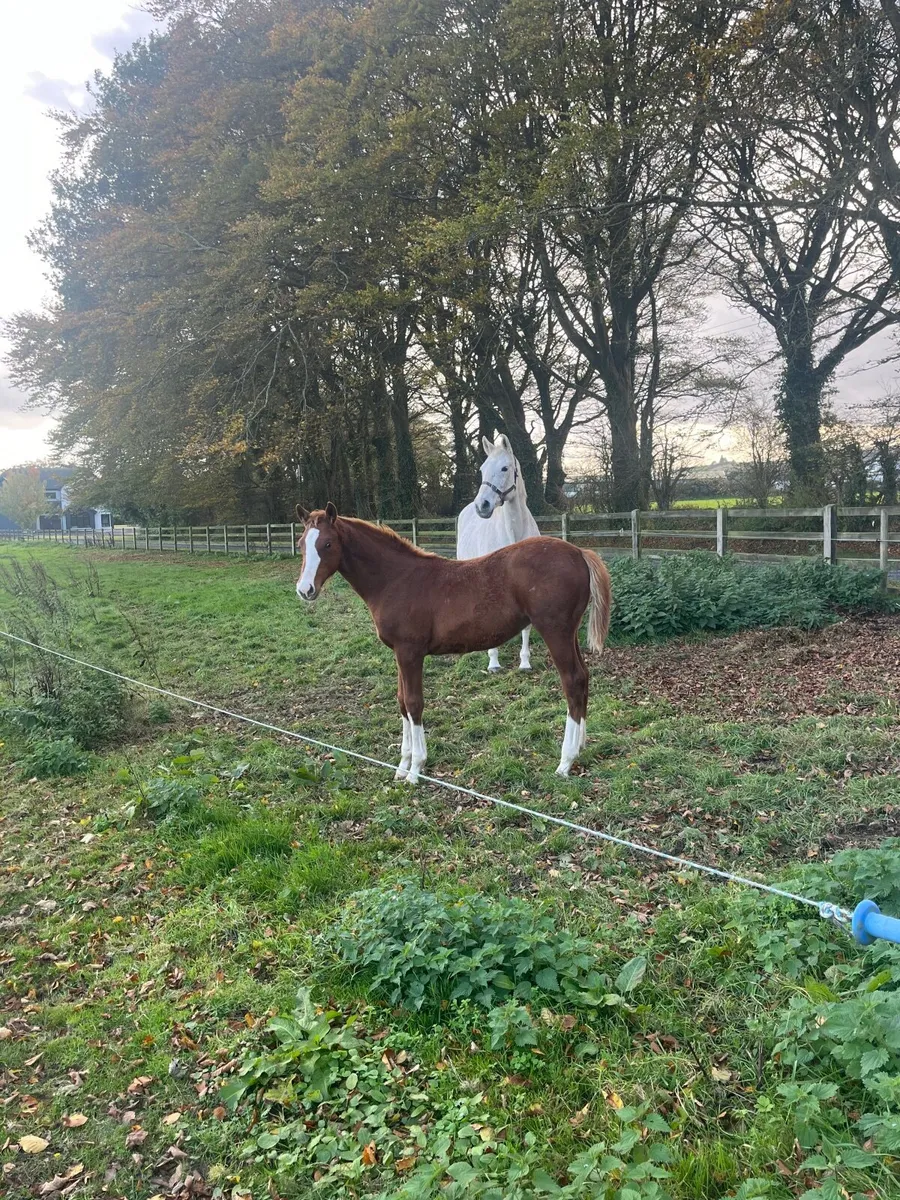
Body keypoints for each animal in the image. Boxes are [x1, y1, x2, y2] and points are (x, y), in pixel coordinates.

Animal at [295, 502, 611, 780]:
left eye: (327, 545)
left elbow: (414, 703)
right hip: (569, 633)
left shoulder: (410, 652)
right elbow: (401, 702)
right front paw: (401, 767)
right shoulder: (399, 653)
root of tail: (579, 552)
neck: (396, 579)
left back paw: (565, 762)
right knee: (583, 677)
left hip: (555, 631)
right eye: (300, 543)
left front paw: (416, 769)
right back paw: (580, 746)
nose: (304, 589)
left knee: (571, 681)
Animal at [456, 433, 540, 672]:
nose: (482, 505)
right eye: (482, 469)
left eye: (505, 468)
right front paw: (493, 662)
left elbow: (526, 627)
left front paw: (524, 662)